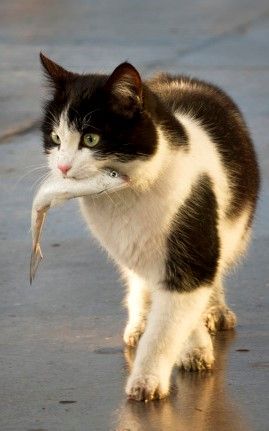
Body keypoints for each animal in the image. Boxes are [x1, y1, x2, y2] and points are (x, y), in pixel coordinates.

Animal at [39, 53, 258, 402]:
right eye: (56, 139)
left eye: (91, 139)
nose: (62, 166)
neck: (129, 196)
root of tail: (175, 78)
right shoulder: (131, 245)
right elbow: (167, 307)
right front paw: (191, 347)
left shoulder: (191, 249)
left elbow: (169, 323)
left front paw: (148, 379)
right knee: (141, 281)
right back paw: (141, 321)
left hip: (231, 228)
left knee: (217, 265)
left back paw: (215, 310)